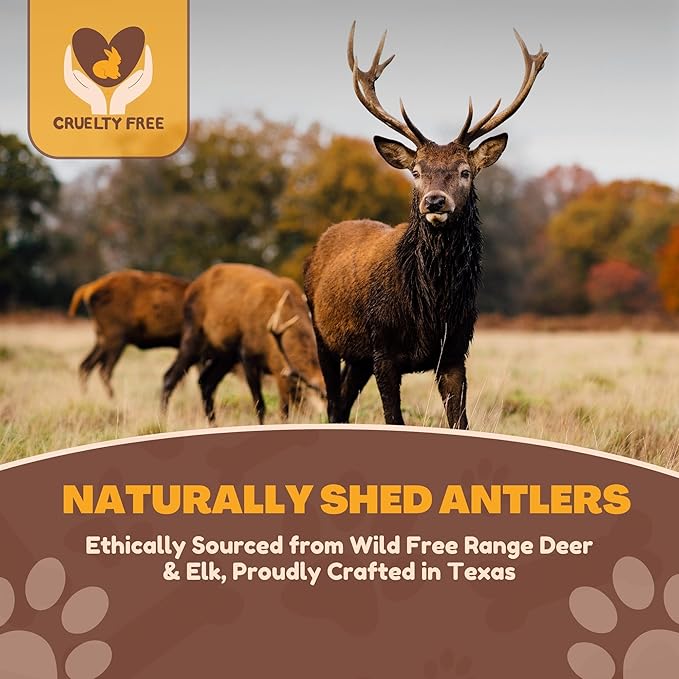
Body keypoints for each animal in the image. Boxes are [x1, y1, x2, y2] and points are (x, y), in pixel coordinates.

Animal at [304, 23, 547, 427]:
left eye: (465, 171)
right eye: (416, 171)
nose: (434, 201)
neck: (431, 308)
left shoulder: (455, 352)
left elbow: (461, 422)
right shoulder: (384, 349)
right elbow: (394, 419)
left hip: (357, 356)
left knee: (341, 403)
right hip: (322, 333)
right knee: (332, 402)